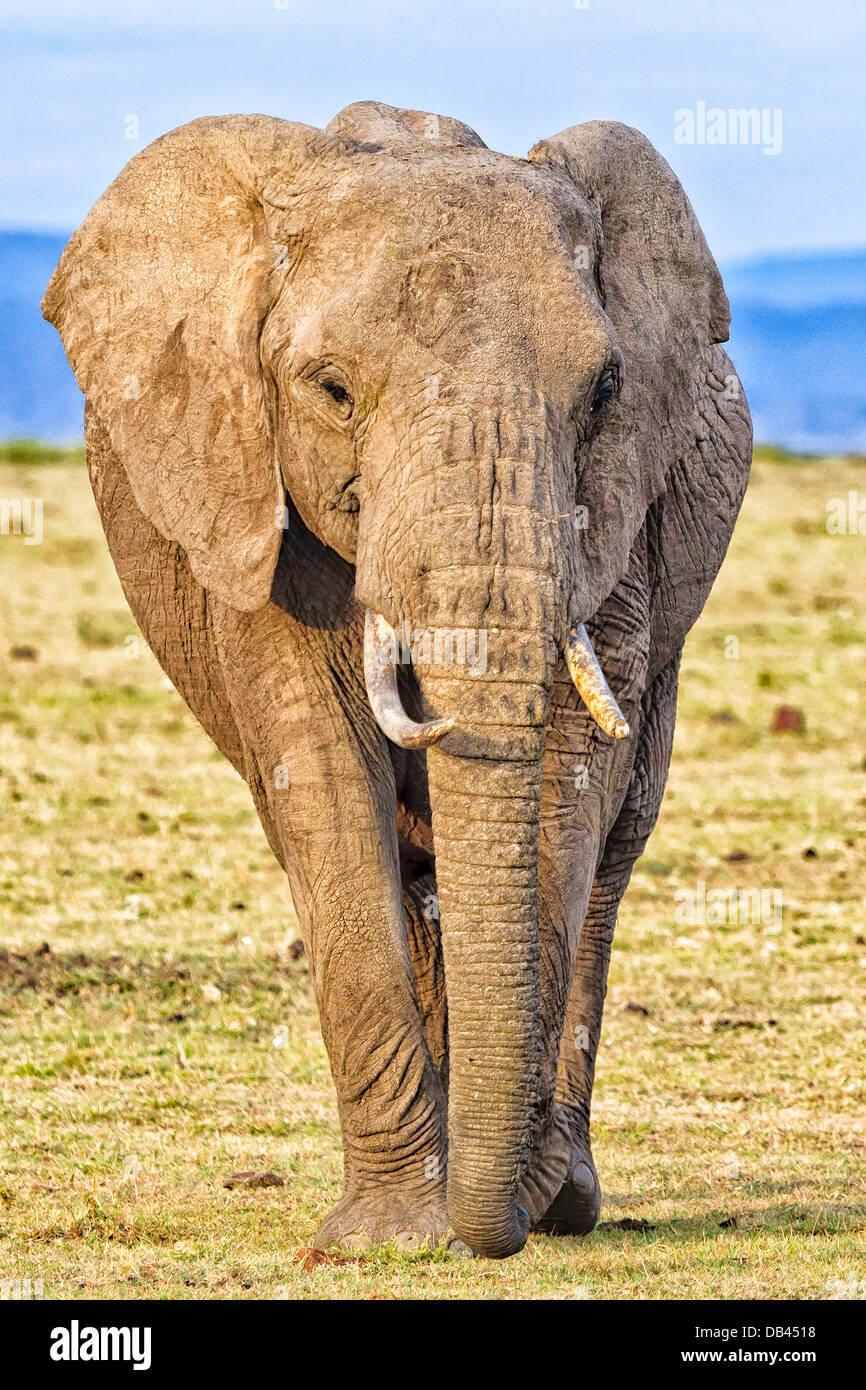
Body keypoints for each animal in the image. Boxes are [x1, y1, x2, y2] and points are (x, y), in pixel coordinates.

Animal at [42, 102, 750, 1262]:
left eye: (605, 391)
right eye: (330, 390)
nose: (494, 1227)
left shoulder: (614, 521)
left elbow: (565, 788)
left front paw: (510, 1197)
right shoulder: (249, 494)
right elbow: (327, 782)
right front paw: (389, 1234)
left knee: (613, 851)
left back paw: (560, 1196)